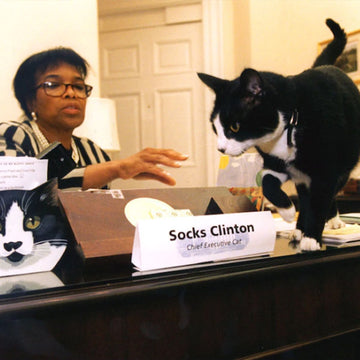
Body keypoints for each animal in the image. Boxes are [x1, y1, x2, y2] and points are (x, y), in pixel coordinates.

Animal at [198, 19, 360, 250]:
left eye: (234, 127)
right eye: (215, 128)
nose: (221, 148)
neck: (292, 120)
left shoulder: (326, 170)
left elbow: (320, 200)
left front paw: (312, 238)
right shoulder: (276, 163)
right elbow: (267, 183)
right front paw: (288, 211)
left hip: (344, 163)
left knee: (327, 193)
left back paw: (330, 222)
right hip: (302, 175)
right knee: (306, 195)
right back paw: (299, 229)